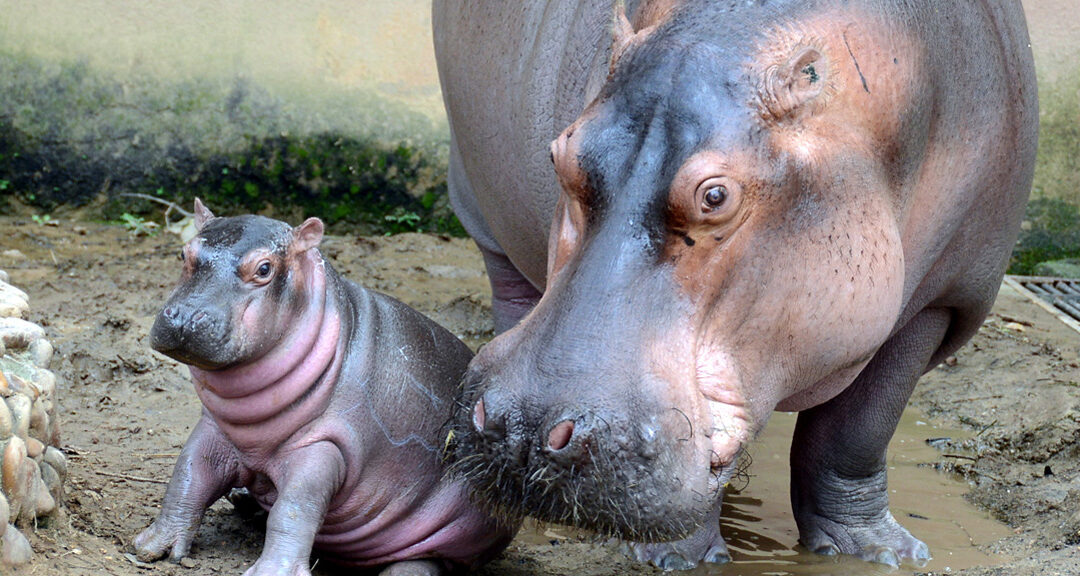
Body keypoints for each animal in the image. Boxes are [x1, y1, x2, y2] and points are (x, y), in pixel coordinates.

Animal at [133, 199, 514, 570]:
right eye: (183, 253)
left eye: (264, 269)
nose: (184, 317)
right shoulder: (215, 428)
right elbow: (188, 476)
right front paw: (149, 548)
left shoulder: (324, 446)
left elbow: (294, 509)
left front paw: (273, 571)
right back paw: (243, 500)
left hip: (454, 535)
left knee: (422, 562)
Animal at [432, 0, 1036, 566]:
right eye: (559, 154)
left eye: (715, 196)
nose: (518, 427)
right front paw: (679, 558)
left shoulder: (940, 300)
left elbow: (858, 431)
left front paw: (880, 552)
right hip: (482, 214)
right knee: (512, 292)